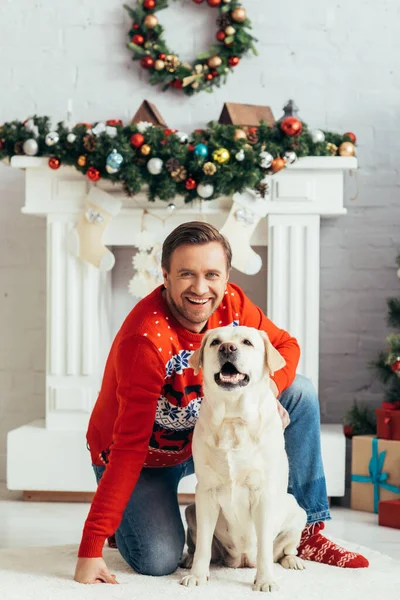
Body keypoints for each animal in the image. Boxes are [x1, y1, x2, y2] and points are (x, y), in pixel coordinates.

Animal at [180, 326, 306, 592]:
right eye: (215, 342)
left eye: (247, 342)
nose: (227, 348)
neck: (232, 418)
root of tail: (241, 560)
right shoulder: (206, 493)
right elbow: (204, 545)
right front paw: (197, 575)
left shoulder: (263, 494)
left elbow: (265, 549)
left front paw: (266, 580)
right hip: (192, 509)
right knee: (199, 546)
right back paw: (187, 559)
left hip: (298, 512)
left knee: (284, 550)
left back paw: (293, 561)